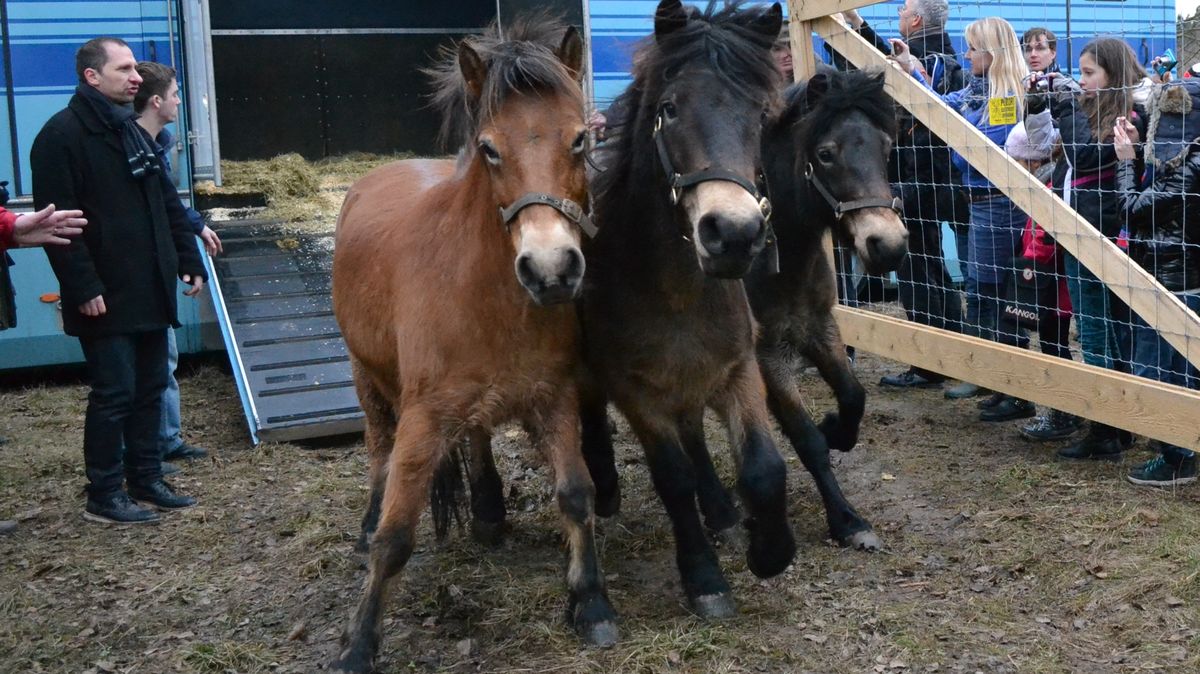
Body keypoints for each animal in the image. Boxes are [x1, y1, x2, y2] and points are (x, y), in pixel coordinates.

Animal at [328, 17, 614, 671]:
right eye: (489, 148)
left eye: (579, 140)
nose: (552, 269)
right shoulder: (423, 418)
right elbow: (396, 535)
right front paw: (359, 642)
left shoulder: (554, 397)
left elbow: (575, 494)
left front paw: (590, 602)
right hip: (368, 382)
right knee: (378, 456)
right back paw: (366, 525)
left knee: (478, 435)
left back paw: (487, 513)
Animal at [580, 0, 796, 618]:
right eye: (670, 109)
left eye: (760, 115)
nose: (735, 235)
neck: (676, 292)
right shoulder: (634, 391)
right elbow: (671, 477)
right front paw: (704, 577)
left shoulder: (737, 368)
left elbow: (765, 467)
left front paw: (767, 549)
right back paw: (606, 489)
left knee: (695, 429)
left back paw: (720, 509)